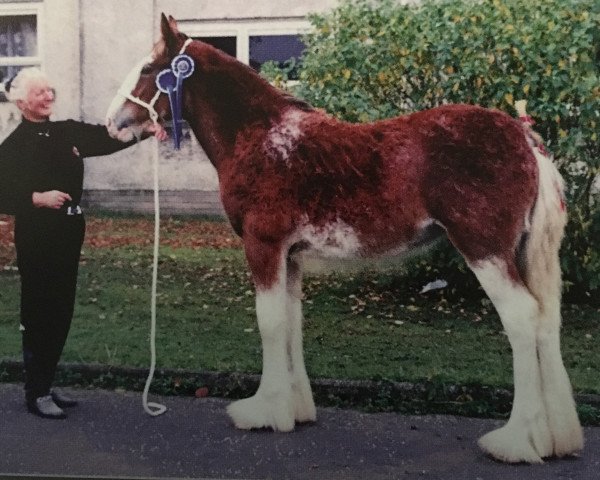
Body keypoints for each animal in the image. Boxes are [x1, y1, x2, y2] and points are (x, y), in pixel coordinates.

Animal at [106, 15, 580, 464]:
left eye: (148, 68)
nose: (113, 122)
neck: (262, 137)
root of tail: (522, 136)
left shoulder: (263, 246)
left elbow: (269, 322)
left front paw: (263, 412)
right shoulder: (291, 257)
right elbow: (291, 322)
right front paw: (295, 410)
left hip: (485, 251)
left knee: (521, 319)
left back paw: (515, 441)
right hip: (519, 255)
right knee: (545, 321)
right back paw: (552, 439)